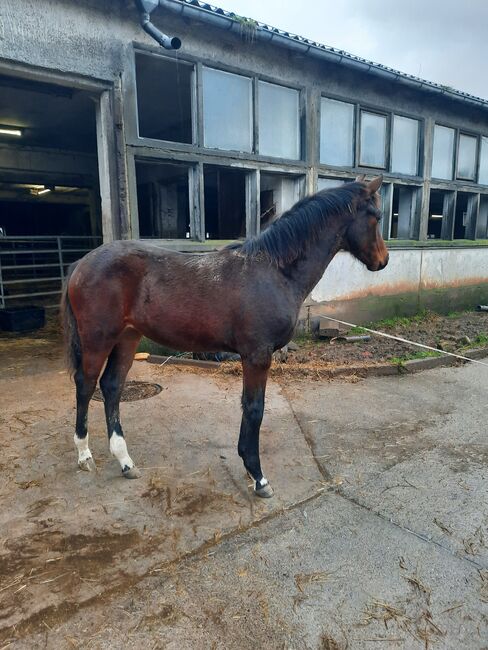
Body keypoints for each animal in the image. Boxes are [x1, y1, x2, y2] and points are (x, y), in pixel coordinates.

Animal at [62, 175, 388, 494]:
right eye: (377, 216)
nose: (383, 261)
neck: (275, 271)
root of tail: (81, 264)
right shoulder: (257, 355)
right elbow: (255, 409)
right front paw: (258, 477)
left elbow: (248, 406)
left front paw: (249, 468)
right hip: (98, 339)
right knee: (86, 384)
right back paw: (84, 455)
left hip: (127, 338)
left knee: (112, 386)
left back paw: (125, 461)